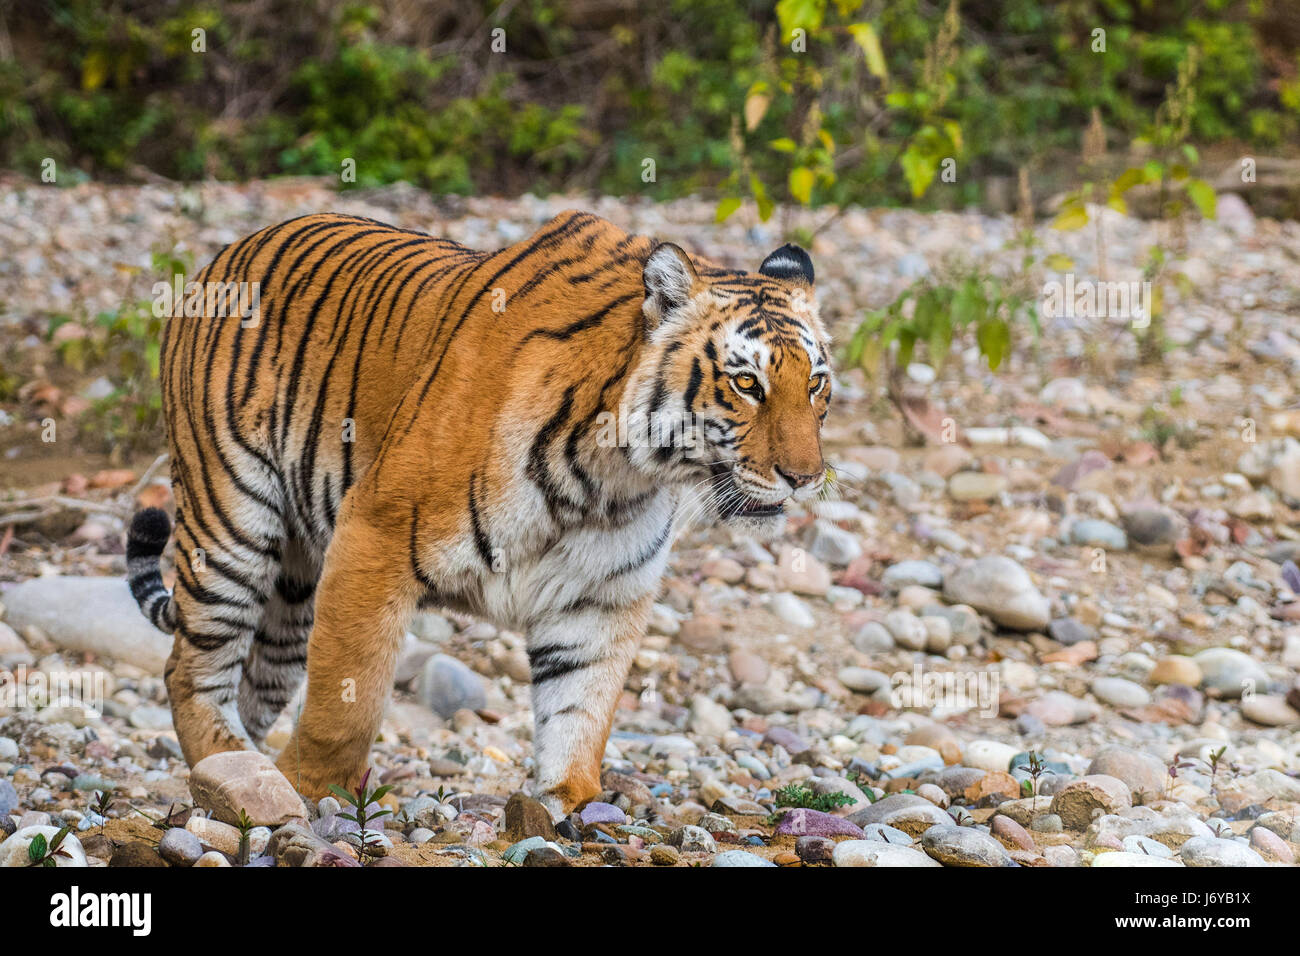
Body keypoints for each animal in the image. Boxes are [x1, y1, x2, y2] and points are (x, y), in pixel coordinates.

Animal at [124, 210, 832, 822]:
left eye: (816, 385)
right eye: (746, 384)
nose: (804, 477)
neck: (612, 477)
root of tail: (228, 250)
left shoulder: (604, 597)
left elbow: (581, 707)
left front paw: (569, 803)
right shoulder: (374, 535)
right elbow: (346, 697)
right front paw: (310, 793)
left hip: (295, 582)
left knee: (256, 680)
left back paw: (244, 770)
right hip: (232, 519)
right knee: (188, 670)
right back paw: (236, 775)